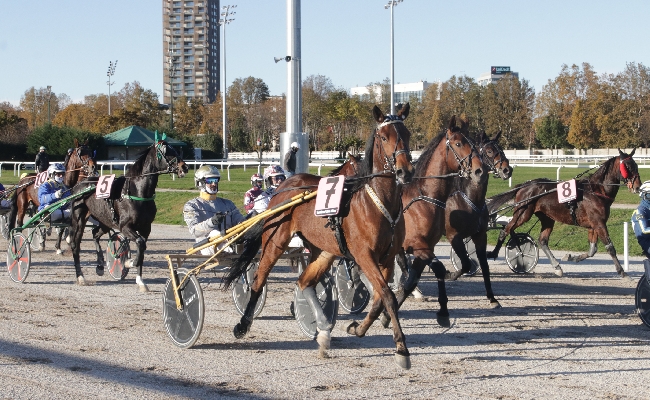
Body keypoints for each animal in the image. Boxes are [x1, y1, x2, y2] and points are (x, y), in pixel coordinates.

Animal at [68, 139, 187, 290]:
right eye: (167, 151)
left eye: (176, 149)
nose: (184, 167)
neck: (138, 192)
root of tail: (79, 185)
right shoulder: (125, 226)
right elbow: (139, 243)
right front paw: (128, 262)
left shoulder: (146, 228)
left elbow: (142, 248)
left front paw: (140, 281)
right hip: (79, 218)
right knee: (75, 244)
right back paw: (80, 277)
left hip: (105, 220)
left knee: (95, 234)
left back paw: (100, 265)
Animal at [223, 104, 416, 368]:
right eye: (385, 137)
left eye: (407, 134)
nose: (405, 171)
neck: (378, 203)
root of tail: (285, 186)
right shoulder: (364, 255)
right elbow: (387, 295)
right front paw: (401, 349)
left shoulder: (387, 257)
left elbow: (380, 297)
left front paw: (358, 328)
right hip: (275, 241)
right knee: (259, 280)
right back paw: (243, 324)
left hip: (323, 251)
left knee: (305, 282)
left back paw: (323, 329)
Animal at [446, 130, 512, 308]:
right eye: (489, 151)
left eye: (501, 148)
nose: (507, 170)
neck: (470, 199)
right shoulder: (454, 236)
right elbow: (466, 263)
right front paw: (451, 274)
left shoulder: (480, 235)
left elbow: (484, 265)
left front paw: (492, 297)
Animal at [486, 149, 636, 278]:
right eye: (627, 166)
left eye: (635, 165)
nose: (637, 185)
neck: (596, 191)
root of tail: (524, 185)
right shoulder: (599, 223)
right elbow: (610, 248)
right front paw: (622, 272)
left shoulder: (594, 225)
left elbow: (592, 250)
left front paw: (572, 257)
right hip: (523, 213)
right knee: (506, 229)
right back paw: (493, 253)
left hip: (546, 217)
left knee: (542, 240)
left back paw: (557, 267)